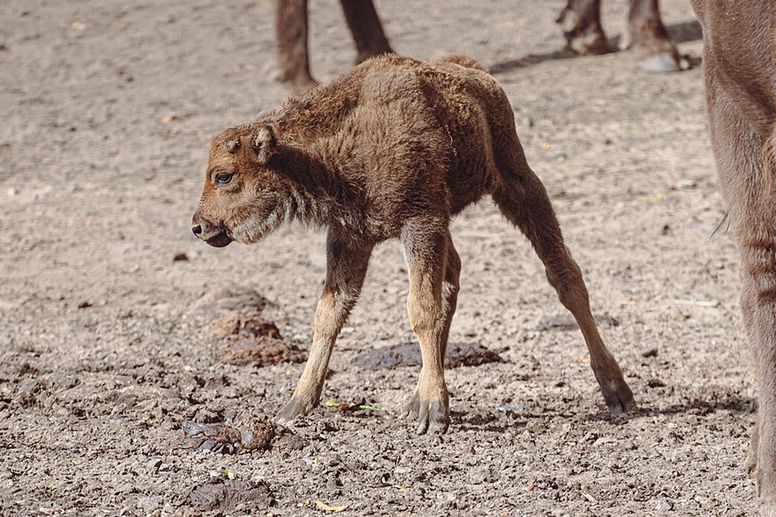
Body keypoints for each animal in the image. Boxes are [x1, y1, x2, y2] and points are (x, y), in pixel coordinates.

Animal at [191, 53, 632, 432]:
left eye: (223, 176)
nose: (199, 226)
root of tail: (477, 73)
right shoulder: (351, 237)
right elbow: (329, 314)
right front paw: (295, 404)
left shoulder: (419, 223)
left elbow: (420, 310)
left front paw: (434, 412)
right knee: (452, 282)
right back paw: (417, 397)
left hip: (517, 182)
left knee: (565, 277)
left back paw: (617, 392)